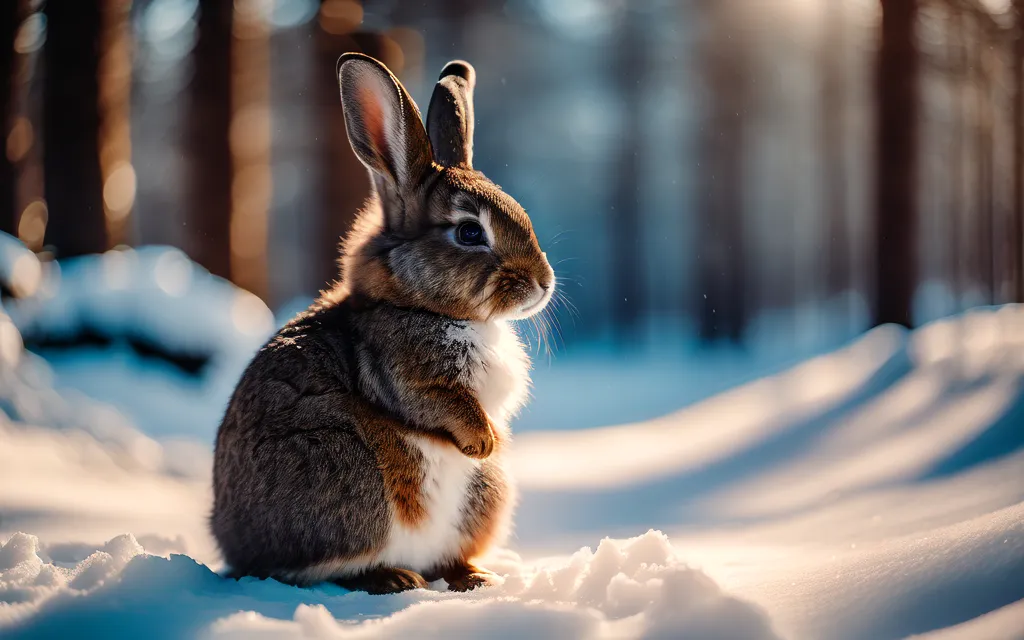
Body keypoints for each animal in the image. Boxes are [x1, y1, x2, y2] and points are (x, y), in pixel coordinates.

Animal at [207, 54, 557, 593]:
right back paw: (393, 578)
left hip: (484, 495)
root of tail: (232, 543)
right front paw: (482, 442)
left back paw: (473, 577)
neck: (419, 305)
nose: (543, 283)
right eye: (469, 232)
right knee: (315, 569)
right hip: (347, 474)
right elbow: (443, 405)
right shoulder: (412, 377)